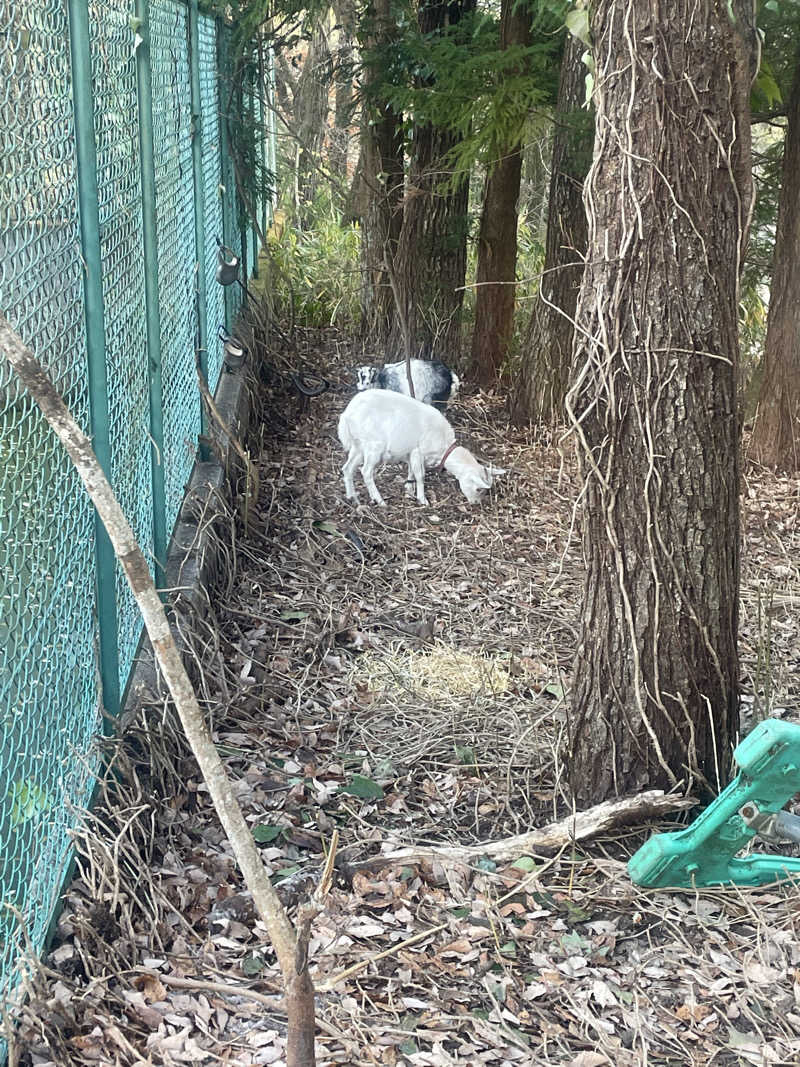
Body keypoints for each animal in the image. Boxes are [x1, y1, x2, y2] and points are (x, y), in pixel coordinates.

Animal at [339, 390, 507, 505]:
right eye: (479, 489)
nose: (475, 503)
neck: (443, 447)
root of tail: (347, 414)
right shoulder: (418, 451)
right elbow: (421, 475)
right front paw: (423, 499)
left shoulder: (411, 453)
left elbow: (411, 471)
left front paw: (409, 491)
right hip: (374, 445)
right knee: (366, 471)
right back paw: (379, 500)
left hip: (358, 445)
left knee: (347, 468)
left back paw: (351, 496)